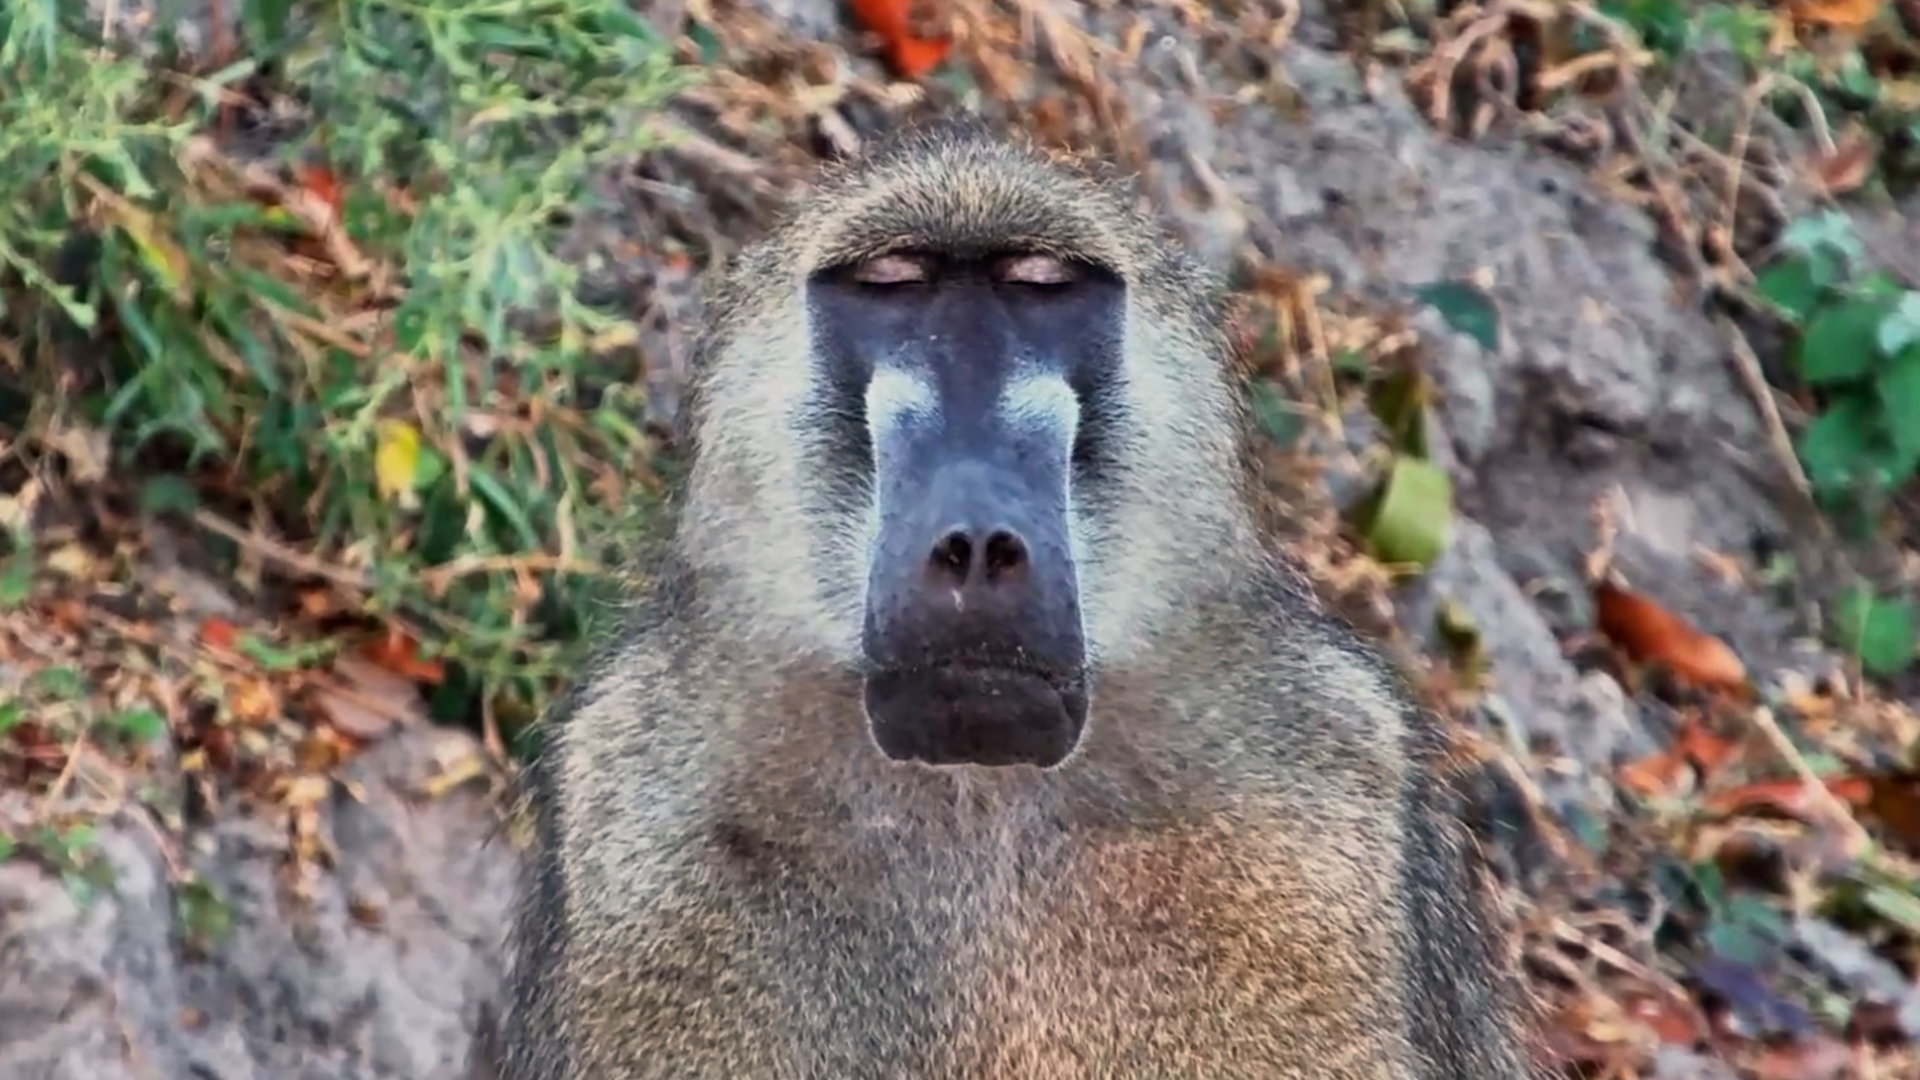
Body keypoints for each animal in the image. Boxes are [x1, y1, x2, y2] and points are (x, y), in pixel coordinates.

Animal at [487, 117, 1536, 1080]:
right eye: (893, 285)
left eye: (1039, 288)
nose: (980, 543)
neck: (977, 803)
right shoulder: (638, 814)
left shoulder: (1329, 781)